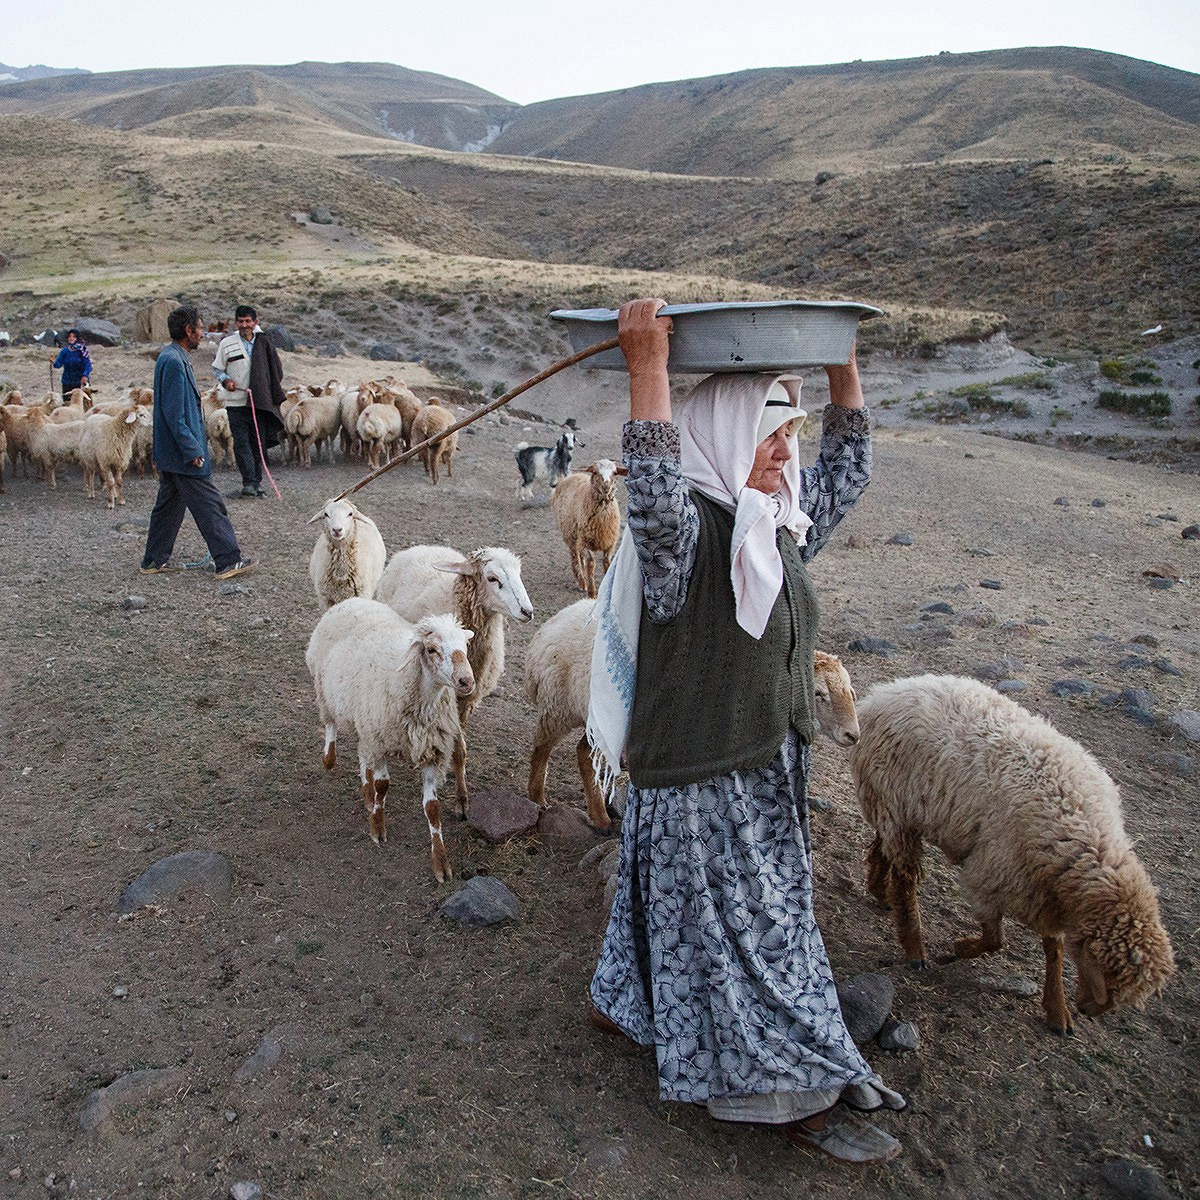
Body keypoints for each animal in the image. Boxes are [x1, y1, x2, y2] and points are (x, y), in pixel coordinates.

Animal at [304, 600, 472, 883]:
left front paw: (440, 861)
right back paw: (330, 758)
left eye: (465, 645)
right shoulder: (380, 740)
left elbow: (432, 808)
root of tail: (351, 601)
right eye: (432, 649)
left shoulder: (431, 751)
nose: (467, 681)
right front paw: (377, 828)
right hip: (325, 692)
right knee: (330, 725)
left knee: (362, 755)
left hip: (363, 721)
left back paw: (366, 794)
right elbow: (383, 786)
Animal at [376, 544, 532, 816]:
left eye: (519, 574)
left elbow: (460, 750)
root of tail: (424, 547)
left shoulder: (467, 698)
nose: (527, 611)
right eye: (492, 578)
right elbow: (457, 748)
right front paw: (461, 800)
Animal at [549, 460, 619, 600]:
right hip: (571, 534)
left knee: (579, 556)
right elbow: (591, 564)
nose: (606, 486)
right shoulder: (587, 541)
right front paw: (592, 592)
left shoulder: (610, 543)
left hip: (578, 537)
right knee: (575, 557)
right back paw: (581, 581)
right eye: (595, 472)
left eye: (615, 472)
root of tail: (566, 478)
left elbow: (607, 563)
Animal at [849, 676, 1176, 1032]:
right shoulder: (990, 874)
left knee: (883, 847)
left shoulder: (1044, 896)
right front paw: (961, 948)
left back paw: (881, 891)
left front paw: (1057, 1010)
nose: (1088, 1010)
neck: (1083, 836)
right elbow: (995, 939)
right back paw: (914, 947)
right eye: (1110, 983)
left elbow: (1053, 949)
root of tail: (884, 693)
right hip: (896, 804)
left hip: (895, 809)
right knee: (906, 877)